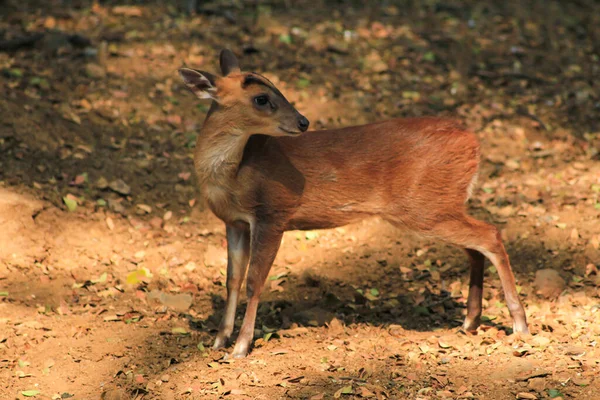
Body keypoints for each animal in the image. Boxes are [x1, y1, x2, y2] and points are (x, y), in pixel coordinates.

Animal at [179, 48, 528, 358]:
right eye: (261, 98)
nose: (303, 121)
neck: (235, 174)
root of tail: (473, 142)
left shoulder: (273, 213)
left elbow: (254, 281)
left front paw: (240, 347)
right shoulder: (235, 221)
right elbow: (231, 279)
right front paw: (219, 340)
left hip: (425, 207)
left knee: (490, 235)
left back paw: (519, 324)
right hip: (442, 205)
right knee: (475, 246)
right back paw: (470, 321)